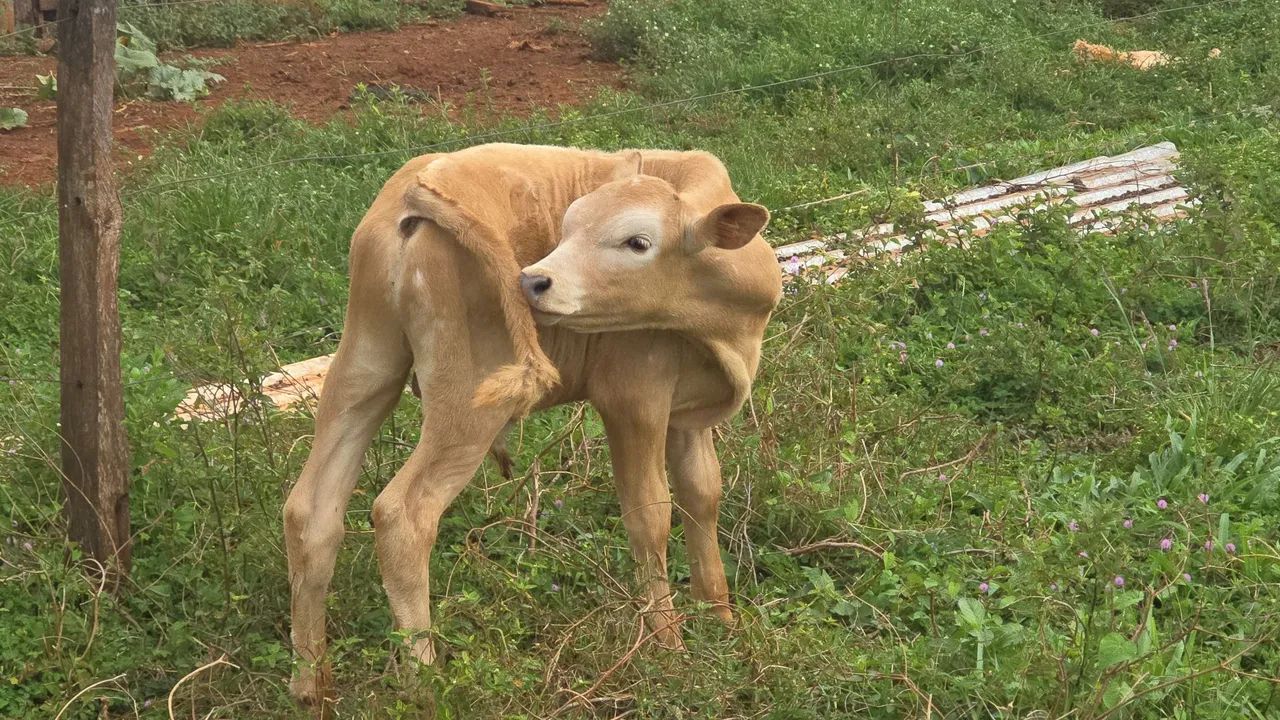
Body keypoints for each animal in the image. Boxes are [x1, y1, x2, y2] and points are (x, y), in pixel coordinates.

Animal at [282, 143, 783, 704]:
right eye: (566, 227)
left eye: (638, 242)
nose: (531, 280)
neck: (727, 329)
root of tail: (418, 188)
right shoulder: (633, 395)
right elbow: (650, 514)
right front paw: (668, 646)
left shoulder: (689, 413)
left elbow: (703, 494)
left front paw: (720, 618)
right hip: (468, 395)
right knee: (403, 515)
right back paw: (426, 685)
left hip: (365, 361)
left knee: (310, 511)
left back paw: (311, 683)